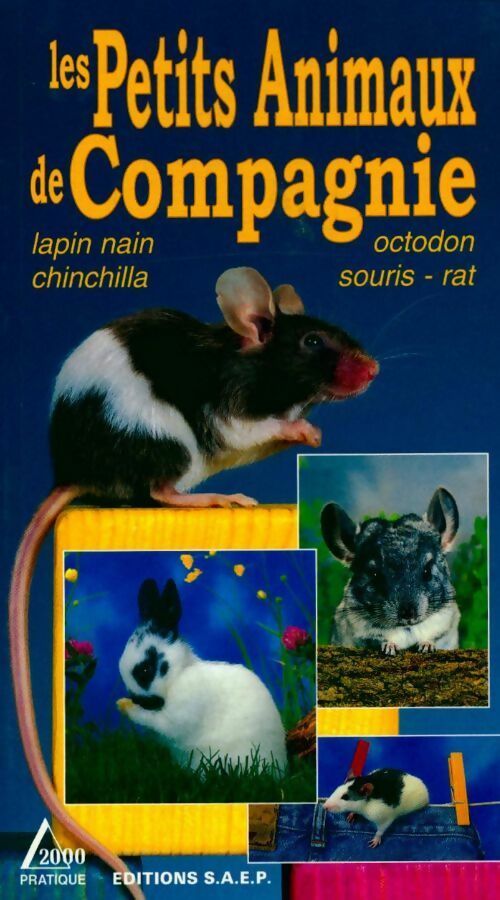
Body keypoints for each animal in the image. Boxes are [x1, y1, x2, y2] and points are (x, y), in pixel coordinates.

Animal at [117, 578, 287, 772]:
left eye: (146, 670)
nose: (135, 699)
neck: (177, 676)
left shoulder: (175, 716)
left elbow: (151, 719)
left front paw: (124, 706)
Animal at [321, 486, 461, 654]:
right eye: (374, 574)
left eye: (427, 571)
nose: (408, 613)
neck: (407, 628)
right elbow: (379, 639)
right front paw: (390, 647)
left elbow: (433, 637)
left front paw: (426, 646)